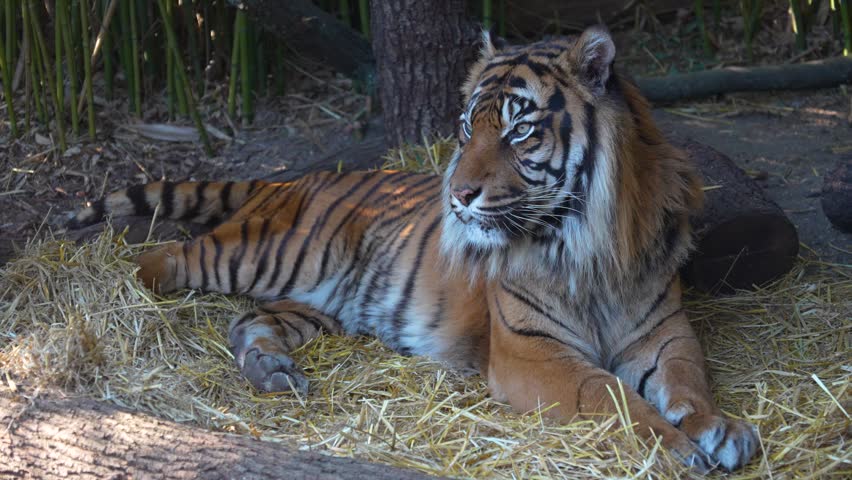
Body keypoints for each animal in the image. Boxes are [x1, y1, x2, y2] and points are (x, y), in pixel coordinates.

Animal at [68, 26, 757, 472]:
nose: (458, 194)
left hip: (318, 305)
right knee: (171, 257)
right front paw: (675, 448)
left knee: (249, 321)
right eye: (468, 127)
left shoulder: (663, 331)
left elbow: (688, 380)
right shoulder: (533, 353)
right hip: (269, 253)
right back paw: (128, 292)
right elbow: (610, 396)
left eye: (519, 130)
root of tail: (296, 179)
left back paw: (273, 371)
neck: (588, 246)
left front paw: (721, 430)